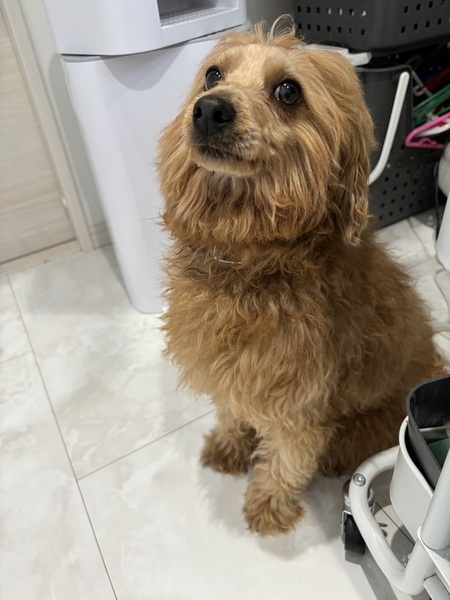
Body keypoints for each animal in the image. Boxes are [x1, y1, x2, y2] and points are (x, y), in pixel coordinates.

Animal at [157, 20, 446, 536]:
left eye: (288, 91)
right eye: (213, 75)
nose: (209, 109)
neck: (251, 262)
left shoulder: (298, 403)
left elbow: (287, 459)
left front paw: (268, 506)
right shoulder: (233, 370)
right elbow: (232, 411)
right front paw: (230, 447)